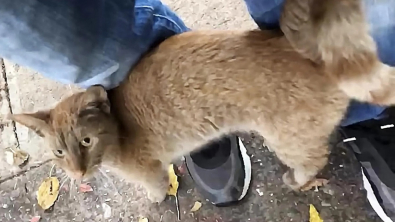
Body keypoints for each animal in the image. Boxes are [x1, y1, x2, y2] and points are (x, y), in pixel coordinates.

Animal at [9, 0, 395, 202]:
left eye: (86, 142)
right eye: (59, 152)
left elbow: (156, 189)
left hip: (288, 139)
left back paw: (299, 180)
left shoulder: (149, 172)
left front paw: (156, 200)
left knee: (314, 159)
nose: (78, 172)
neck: (118, 128)